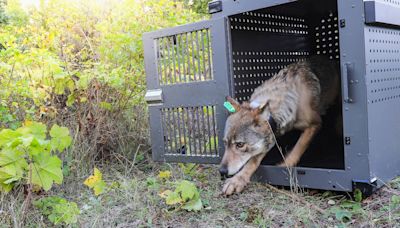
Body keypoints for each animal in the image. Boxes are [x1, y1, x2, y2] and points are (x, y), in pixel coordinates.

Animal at [220, 56, 340, 195]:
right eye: (225, 143)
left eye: (240, 145)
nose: (221, 171)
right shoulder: (270, 138)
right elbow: (252, 161)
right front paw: (237, 180)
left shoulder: (315, 123)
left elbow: (299, 146)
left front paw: (285, 164)